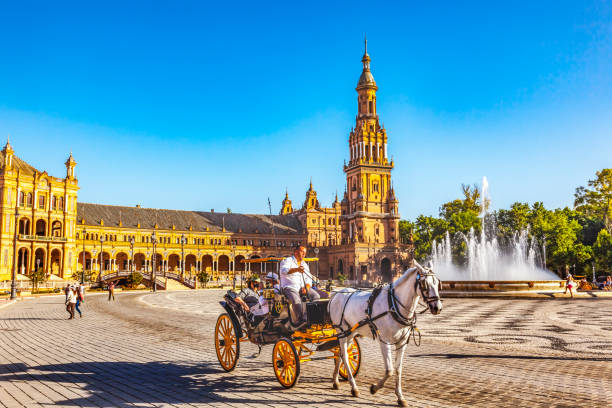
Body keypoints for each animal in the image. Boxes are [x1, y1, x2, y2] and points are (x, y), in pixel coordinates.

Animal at [328, 262, 442, 406]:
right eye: (424, 284)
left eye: (437, 283)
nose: (437, 308)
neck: (393, 305)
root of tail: (336, 294)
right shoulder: (384, 341)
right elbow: (389, 370)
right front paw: (374, 388)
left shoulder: (402, 343)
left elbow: (398, 369)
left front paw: (400, 397)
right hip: (342, 331)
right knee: (345, 356)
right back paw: (354, 387)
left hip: (351, 332)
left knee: (340, 354)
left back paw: (335, 381)